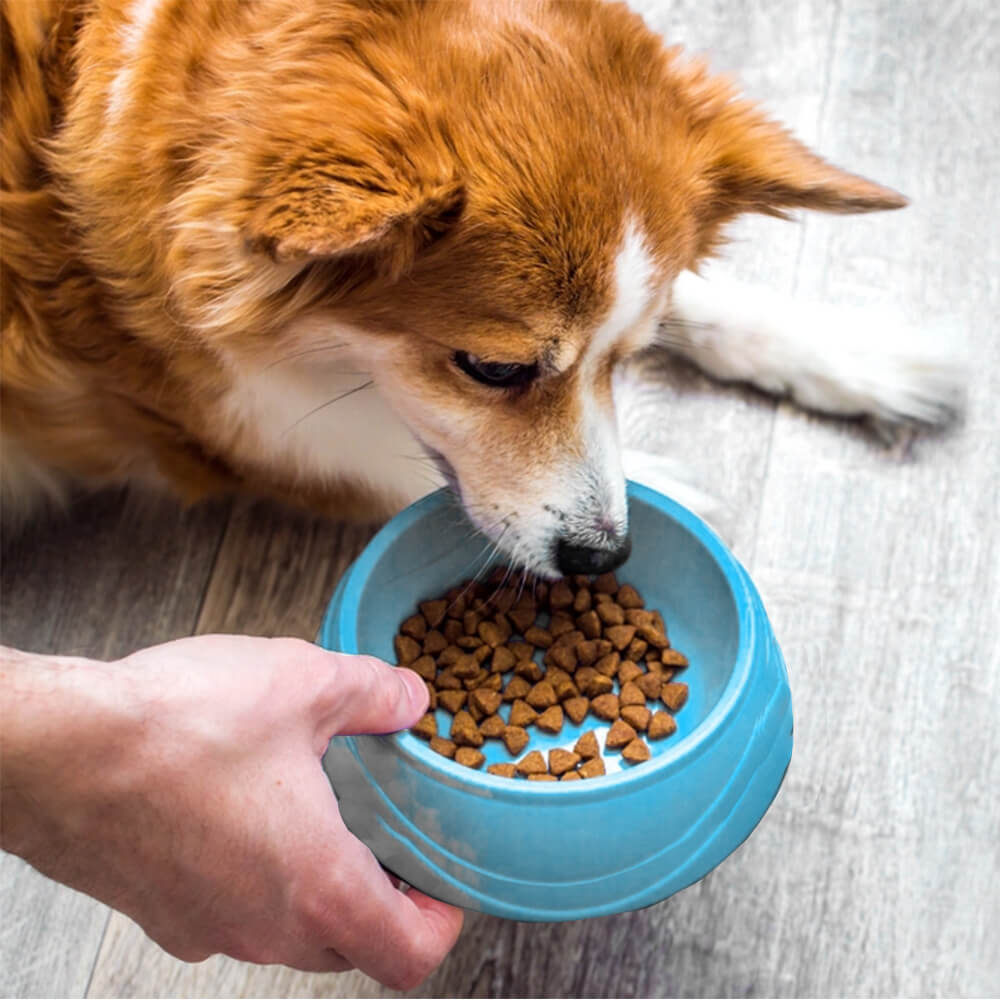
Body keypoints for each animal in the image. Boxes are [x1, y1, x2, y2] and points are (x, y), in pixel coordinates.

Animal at [0, 0, 960, 580]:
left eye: (628, 359)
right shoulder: (202, 423)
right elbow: (396, 464)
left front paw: (858, 352)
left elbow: (694, 301)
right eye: (493, 370)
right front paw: (685, 500)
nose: (605, 559)